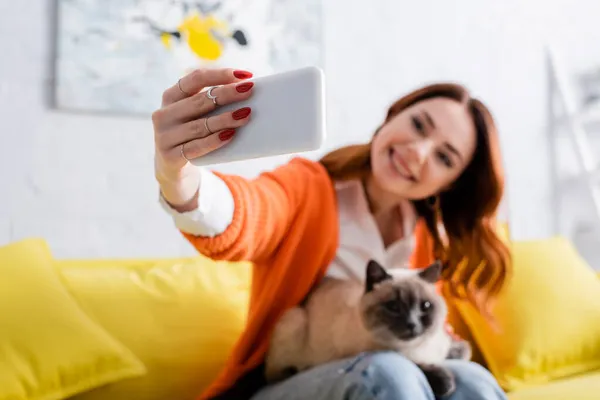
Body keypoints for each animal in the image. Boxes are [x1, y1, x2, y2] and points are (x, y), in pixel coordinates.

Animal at [264, 260, 472, 396]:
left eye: (425, 306)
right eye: (393, 307)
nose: (412, 324)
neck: (417, 348)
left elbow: (462, 349)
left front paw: (457, 352)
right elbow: (415, 363)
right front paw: (446, 382)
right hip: (295, 319)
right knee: (275, 373)